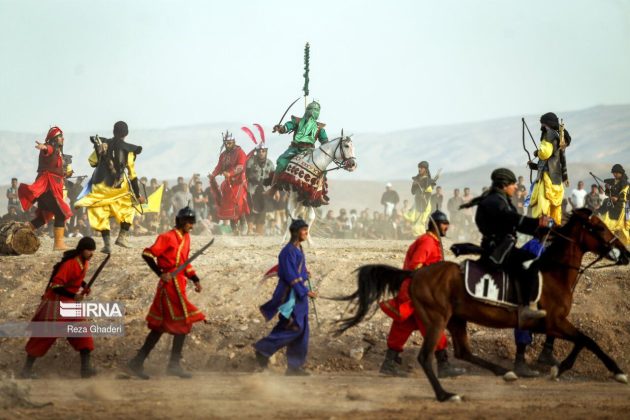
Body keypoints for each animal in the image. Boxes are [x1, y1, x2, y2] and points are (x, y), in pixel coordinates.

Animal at [336, 208, 630, 402]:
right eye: (600, 228)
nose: (625, 253)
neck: (553, 273)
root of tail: (415, 274)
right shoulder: (553, 322)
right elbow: (588, 340)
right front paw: (615, 372)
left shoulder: (551, 324)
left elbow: (583, 340)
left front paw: (560, 367)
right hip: (436, 319)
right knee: (425, 356)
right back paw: (445, 394)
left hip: (456, 319)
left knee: (463, 352)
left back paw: (503, 372)